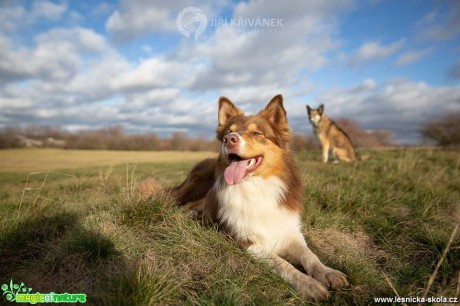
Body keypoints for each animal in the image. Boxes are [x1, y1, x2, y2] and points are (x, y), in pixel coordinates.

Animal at [172, 95, 348, 302]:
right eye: (228, 132)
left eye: (256, 133)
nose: (228, 139)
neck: (256, 185)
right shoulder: (248, 242)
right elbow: (284, 264)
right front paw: (309, 285)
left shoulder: (289, 231)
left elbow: (310, 255)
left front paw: (328, 273)